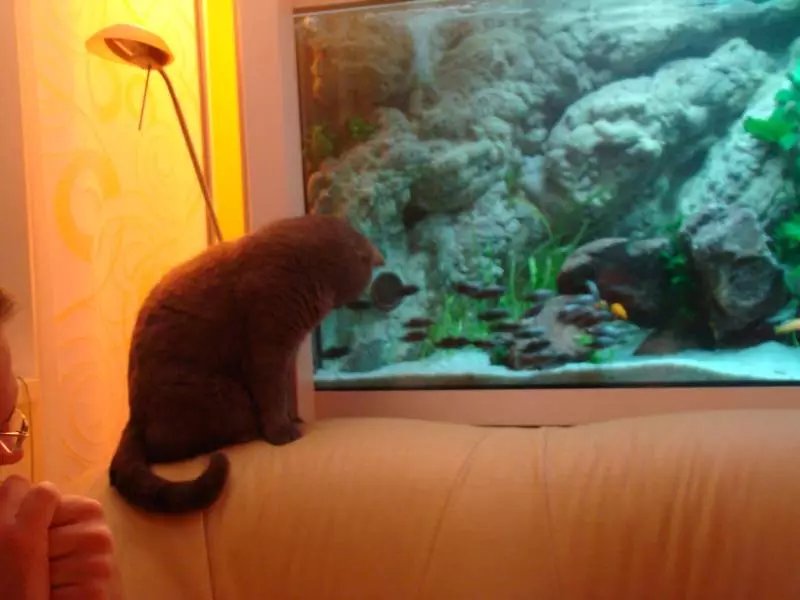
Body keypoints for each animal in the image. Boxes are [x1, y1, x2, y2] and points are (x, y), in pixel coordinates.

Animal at [109, 214, 384, 515]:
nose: (379, 264)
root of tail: (134, 417)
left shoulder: (287, 351)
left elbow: (283, 394)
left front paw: (292, 418)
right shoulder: (268, 349)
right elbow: (272, 395)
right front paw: (283, 432)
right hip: (224, 398)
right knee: (164, 446)